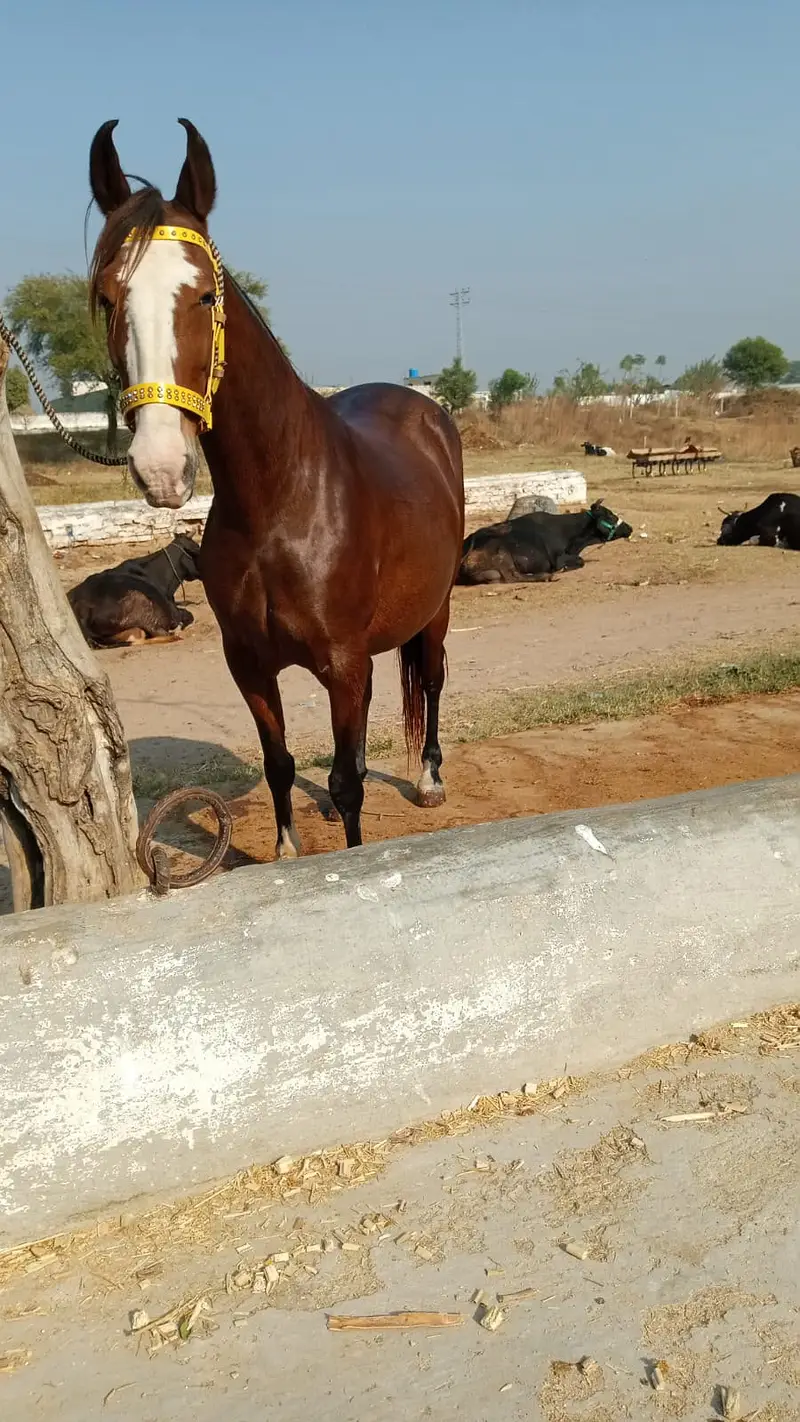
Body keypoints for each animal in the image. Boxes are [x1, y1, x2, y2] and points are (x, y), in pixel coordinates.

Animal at [87, 119, 465, 857]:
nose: (161, 467)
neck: (281, 502)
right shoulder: (250, 666)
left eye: (205, 294)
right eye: (110, 297)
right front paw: (290, 855)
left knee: (432, 680)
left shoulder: (344, 665)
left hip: (433, 611)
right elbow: (280, 763)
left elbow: (346, 783)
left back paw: (430, 779)